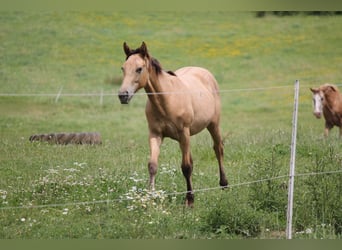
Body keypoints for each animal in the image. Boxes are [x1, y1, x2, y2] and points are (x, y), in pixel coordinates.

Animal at [117, 42, 227, 206]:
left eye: (139, 68)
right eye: (123, 68)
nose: (123, 95)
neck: (167, 100)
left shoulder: (184, 133)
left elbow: (186, 167)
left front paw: (189, 200)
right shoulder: (155, 134)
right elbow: (152, 165)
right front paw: (150, 197)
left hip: (213, 125)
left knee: (218, 149)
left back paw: (224, 184)